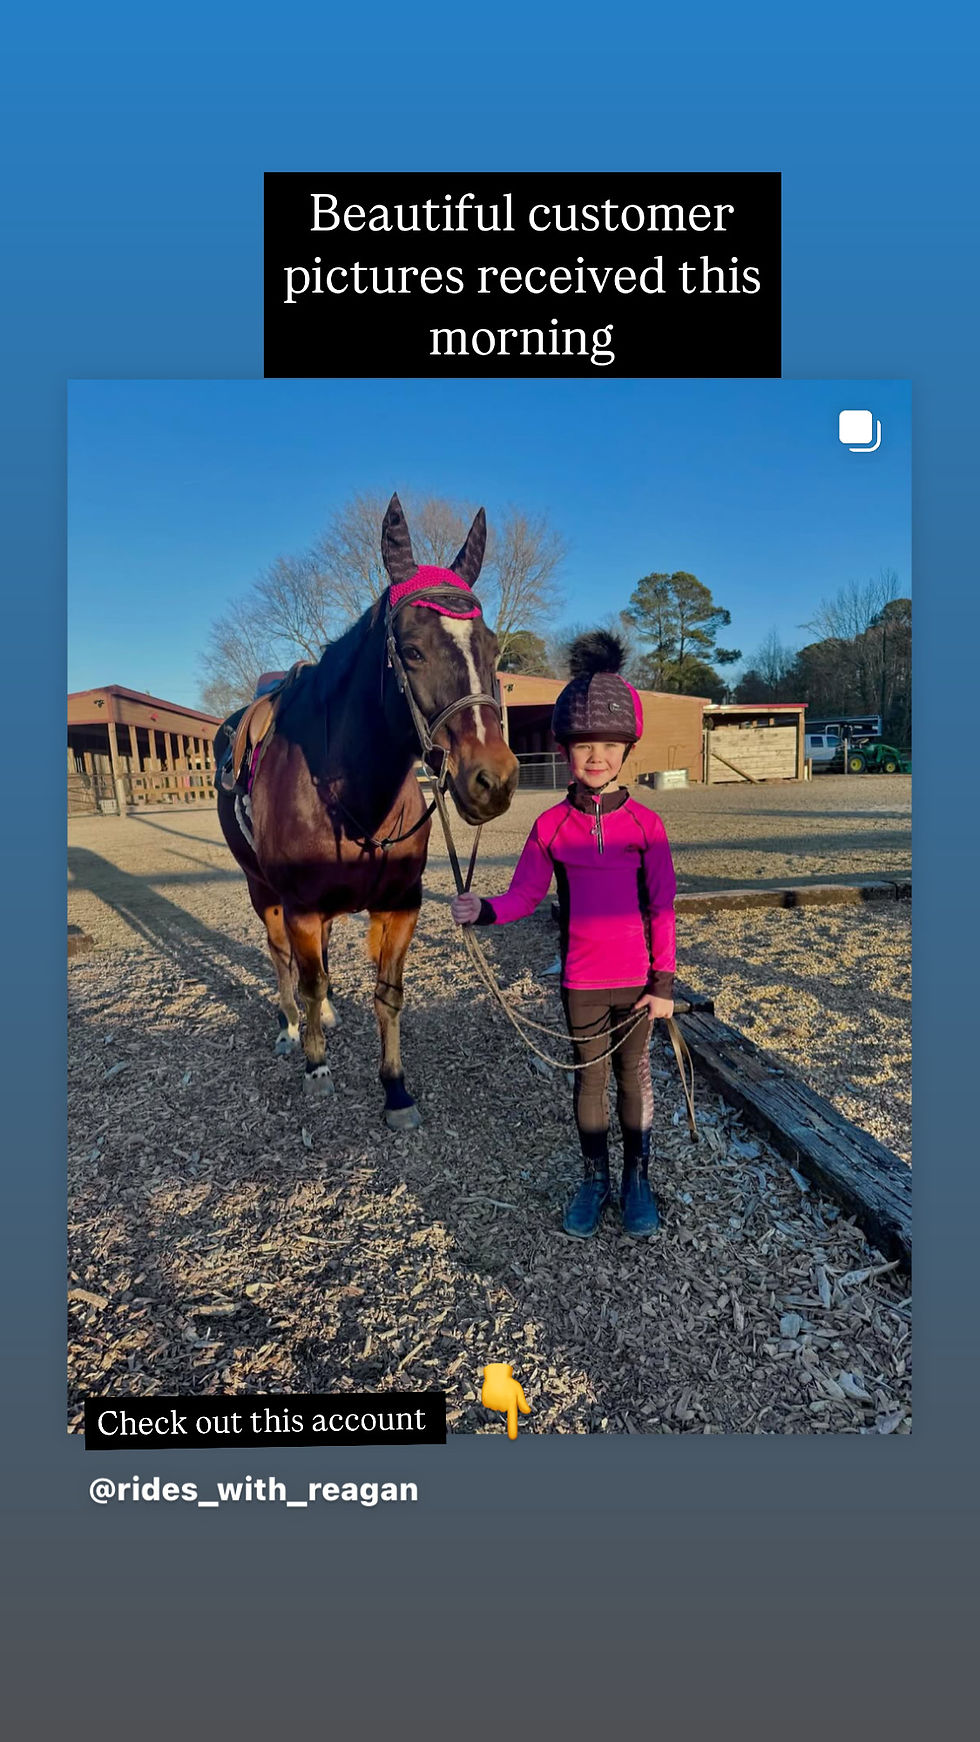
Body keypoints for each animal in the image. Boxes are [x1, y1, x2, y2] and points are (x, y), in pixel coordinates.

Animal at [214, 494, 519, 1129]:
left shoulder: (400, 905)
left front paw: (395, 1088)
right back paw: (291, 1030)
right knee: (283, 962)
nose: (493, 780)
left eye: (492, 647)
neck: (355, 796)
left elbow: (387, 995)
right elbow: (306, 980)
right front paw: (316, 1067)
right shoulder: (300, 907)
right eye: (413, 650)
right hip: (263, 891)